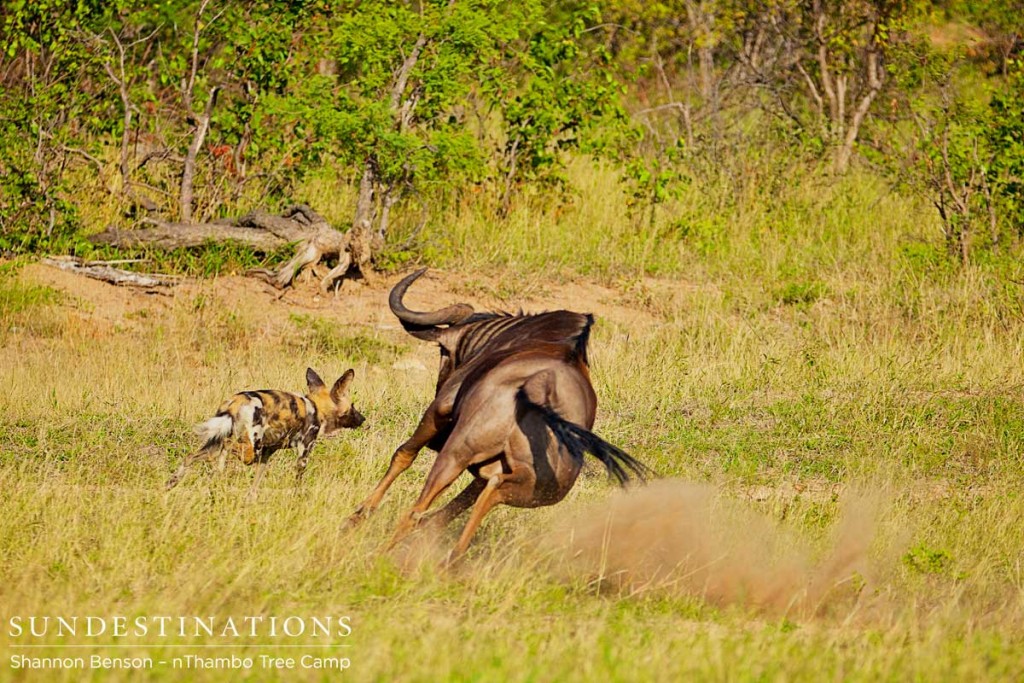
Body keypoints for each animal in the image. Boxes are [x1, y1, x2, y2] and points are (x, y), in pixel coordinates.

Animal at [163, 368, 364, 497]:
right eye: (353, 406)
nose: (363, 419)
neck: (317, 407)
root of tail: (236, 401)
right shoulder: (303, 454)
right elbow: (298, 481)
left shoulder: (266, 455)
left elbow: (255, 485)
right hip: (250, 449)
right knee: (227, 448)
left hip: (221, 442)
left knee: (191, 457)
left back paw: (171, 484)